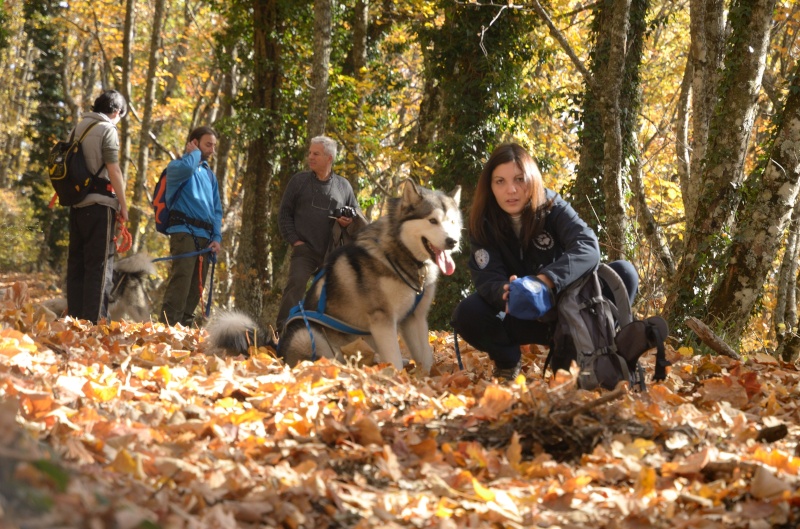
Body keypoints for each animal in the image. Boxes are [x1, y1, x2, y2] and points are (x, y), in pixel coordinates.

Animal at [209, 179, 462, 374]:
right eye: (432, 220)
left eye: (452, 222)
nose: (453, 241)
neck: (401, 256)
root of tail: (276, 348)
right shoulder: (383, 320)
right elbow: (395, 360)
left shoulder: (415, 318)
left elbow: (425, 357)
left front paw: (426, 381)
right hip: (310, 336)